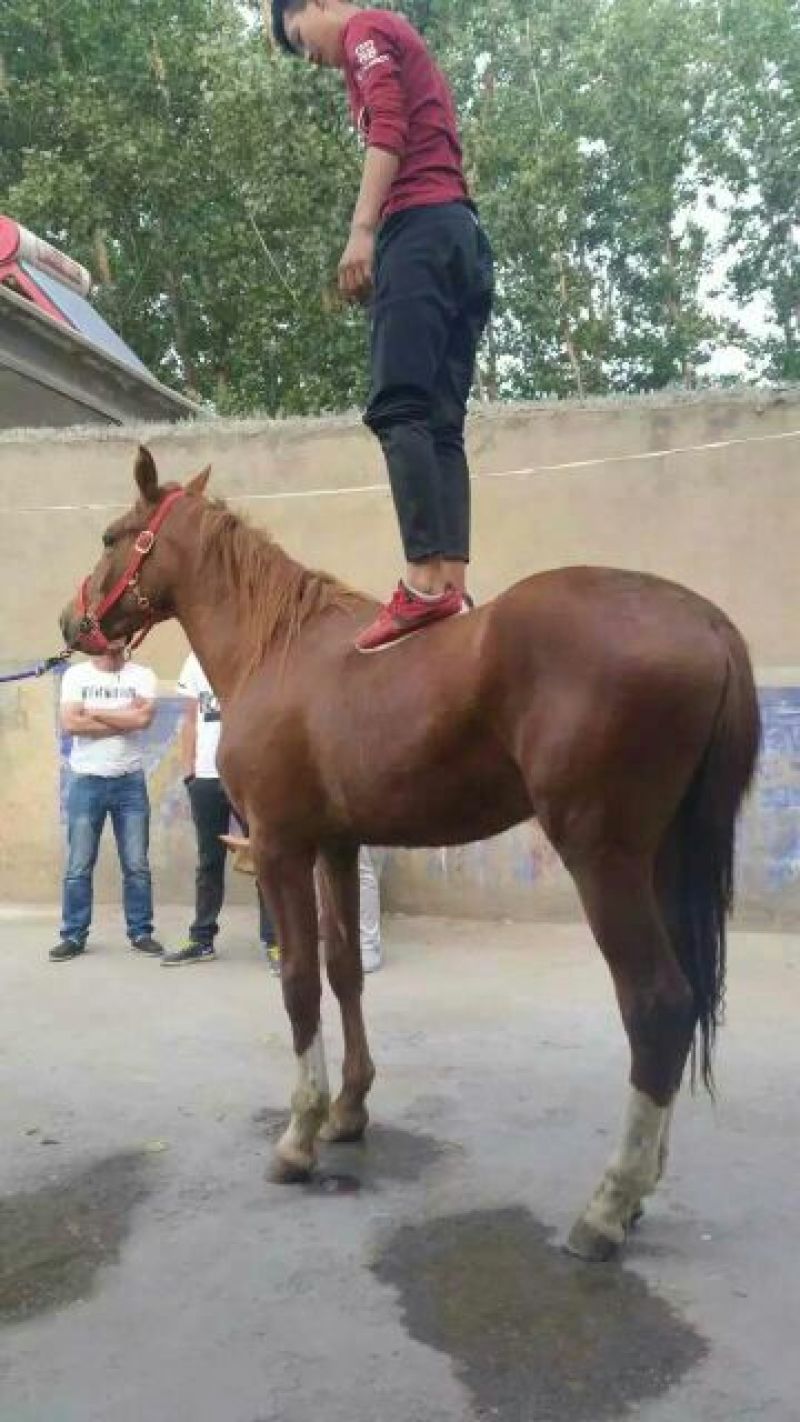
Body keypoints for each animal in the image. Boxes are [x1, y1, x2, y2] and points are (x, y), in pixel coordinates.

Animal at [59, 446, 760, 1261]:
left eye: (112, 536)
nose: (72, 621)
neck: (280, 648)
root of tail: (706, 622)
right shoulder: (336, 844)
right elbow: (346, 970)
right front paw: (349, 1110)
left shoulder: (281, 847)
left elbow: (299, 981)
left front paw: (299, 1134)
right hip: (666, 859)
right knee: (686, 1001)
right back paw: (644, 1183)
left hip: (604, 858)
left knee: (657, 1002)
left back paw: (609, 1204)